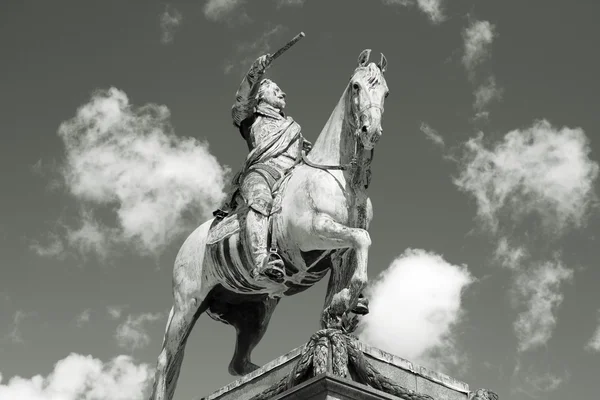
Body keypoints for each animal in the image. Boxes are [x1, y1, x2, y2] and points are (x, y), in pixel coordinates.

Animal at [150, 50, 390, 400]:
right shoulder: (314, 231)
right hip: (186, 305)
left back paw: (264, 374)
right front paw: (348, 301)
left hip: (256, 311)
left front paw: (341, 312)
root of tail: (190, 242)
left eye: (385, 92)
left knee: (237, 364)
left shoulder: (338, 254)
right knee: (167, 361)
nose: (370, 130)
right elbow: (361, 239)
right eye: (356, 86)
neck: (338, 176)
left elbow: (352, 260)